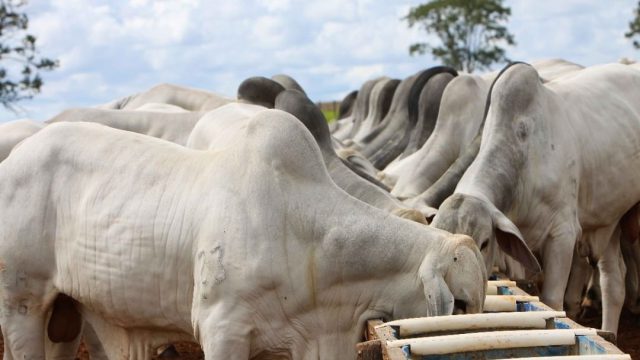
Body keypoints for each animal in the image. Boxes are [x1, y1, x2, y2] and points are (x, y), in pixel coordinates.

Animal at [430, 62, 640, 334]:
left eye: (484, 243)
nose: (459, 305)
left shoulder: (563, 233)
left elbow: (552, 300)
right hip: (608, 219)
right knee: (613, 282)